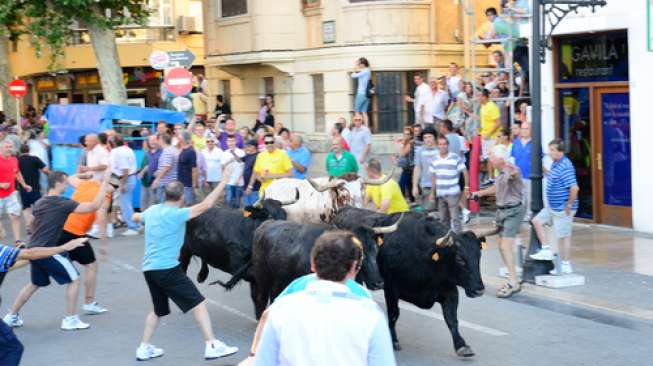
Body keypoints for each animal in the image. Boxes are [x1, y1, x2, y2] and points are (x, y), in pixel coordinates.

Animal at [332, 209, 494, 358]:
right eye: (460, 259)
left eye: (478, 255)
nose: (479, 290)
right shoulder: (391, 288)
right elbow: (393, 314)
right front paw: (394, 340)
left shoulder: (450, 291)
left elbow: (452, 319)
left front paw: (462, 345)